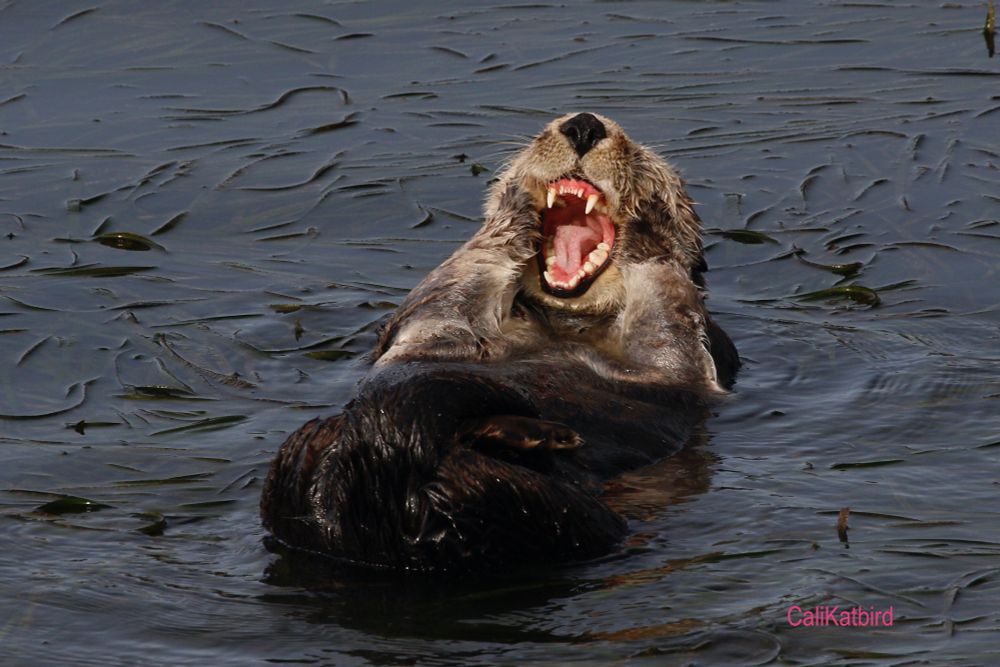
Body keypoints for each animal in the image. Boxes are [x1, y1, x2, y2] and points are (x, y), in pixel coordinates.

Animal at [260, 113, 739, 571]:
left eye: (643, 155)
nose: (584, 124)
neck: (565, 321)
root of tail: (382, 517)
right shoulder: (433, 333)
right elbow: (454, 288)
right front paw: (513, 203)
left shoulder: (687, 360)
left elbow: (665, 317)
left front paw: (650, 223)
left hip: (556, 519)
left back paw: (533, 434)